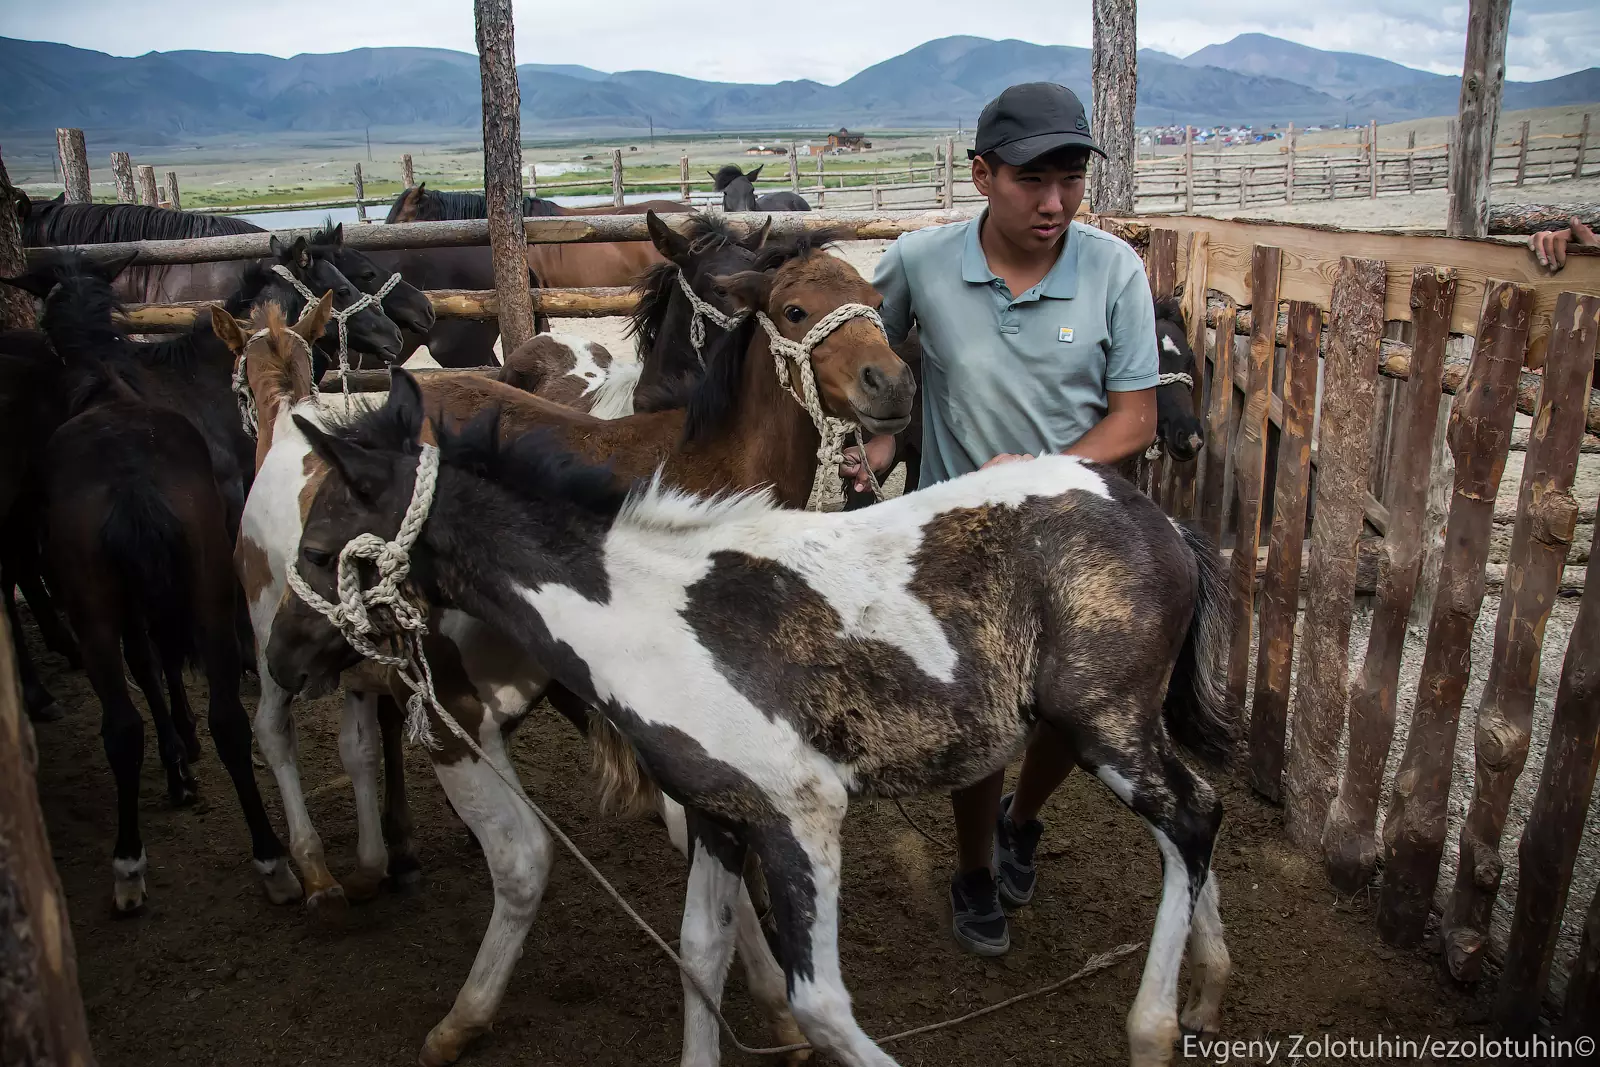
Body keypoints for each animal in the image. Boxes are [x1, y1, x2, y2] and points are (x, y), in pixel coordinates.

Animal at [234, 232, 912, 1065]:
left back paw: (374, 861)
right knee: (275, 730)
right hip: (276, 636)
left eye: (876, 302)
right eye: (793, 308)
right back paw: (313, 871)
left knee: (363, 739)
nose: (892, 381)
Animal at [272, 368, 1237, 1067]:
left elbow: (820, 1005)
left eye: (318, 551)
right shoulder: (716, 812)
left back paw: (1154, 1028)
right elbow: (702, 952)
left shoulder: (799, 814)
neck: (637, 614)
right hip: (1125, 724)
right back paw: (1206, 989)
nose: (280, 659)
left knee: (1191, 814)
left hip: (1102, 722)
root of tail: (1159, 519)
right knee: (1193, 820)